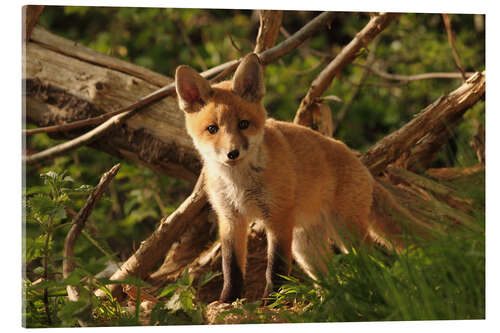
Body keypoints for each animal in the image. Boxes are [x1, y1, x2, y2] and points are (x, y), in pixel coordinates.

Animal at [176, 53, 426, 302]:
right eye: (212, 129)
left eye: (244, 124)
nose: (232, 153)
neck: (239, 183)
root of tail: (362, 164)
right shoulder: (230, 219)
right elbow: (231, 268)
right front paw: (227, 301)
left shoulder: (278, 217)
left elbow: (276, 268)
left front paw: (271, 301)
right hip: (306, 248)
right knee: (331, 278)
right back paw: (329, 301)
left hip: (344, 231)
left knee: (374, 262)